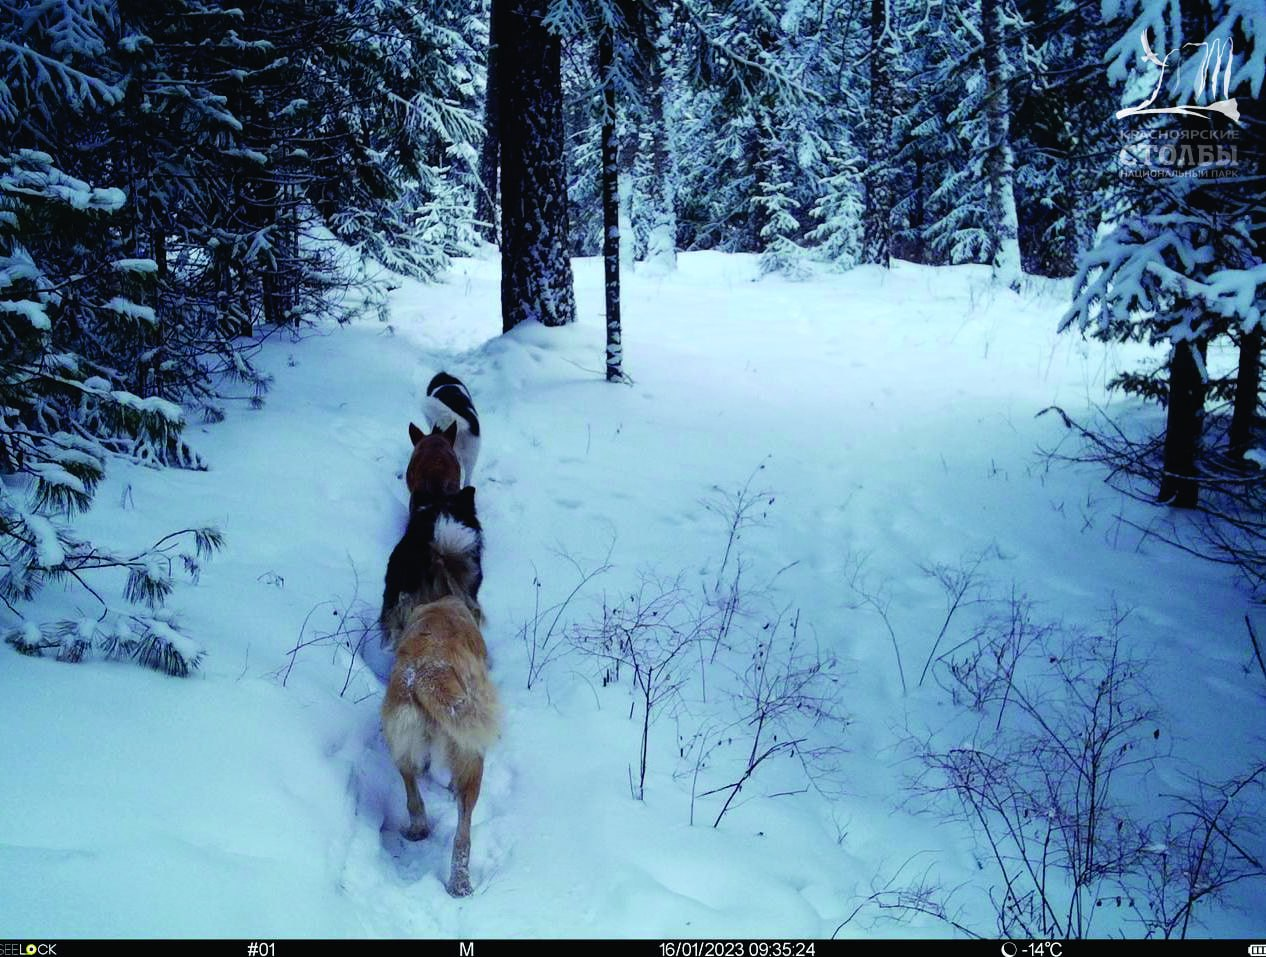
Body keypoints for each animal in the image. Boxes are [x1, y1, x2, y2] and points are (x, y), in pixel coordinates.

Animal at [382, 594, 501, 891]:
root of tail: (424, 674)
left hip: (402, 743)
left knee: (413, 796)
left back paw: (420, 831)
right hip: (472, 760)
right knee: (463, 834)